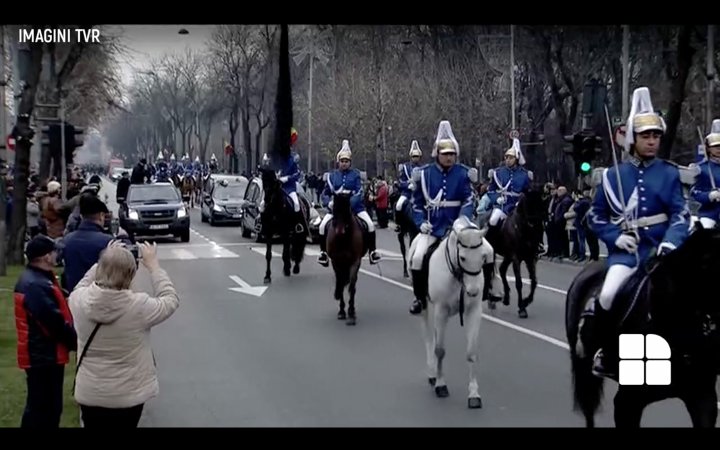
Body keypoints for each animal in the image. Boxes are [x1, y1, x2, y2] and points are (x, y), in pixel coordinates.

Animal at [330, 192, 368, 326]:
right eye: (334, 208)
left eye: (347, 208)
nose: (339, 231)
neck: (343, 239)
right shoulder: (336, 262)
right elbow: (341, 283)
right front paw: (342, 311)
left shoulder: (355, 261)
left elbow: (351, 286)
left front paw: (351, 313)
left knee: (353, 284)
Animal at [420, 216, 498, 410]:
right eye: (462, 257)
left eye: (483, 256)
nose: (473, 291)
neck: (457, 276)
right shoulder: (440, 310)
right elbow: (440, 350)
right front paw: (441, 385)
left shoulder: (473, 311)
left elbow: (471, 352)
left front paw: (474, 393)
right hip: (426, 306)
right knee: (428, 337)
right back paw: (432, 373)